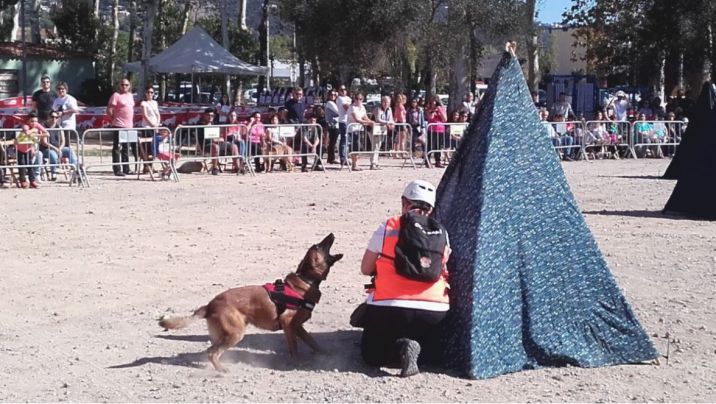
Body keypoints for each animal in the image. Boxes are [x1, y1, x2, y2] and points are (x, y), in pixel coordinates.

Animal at [158, 232, 342, 370]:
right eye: (318, 246)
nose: (331, 234)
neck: (305, 280)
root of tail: (210, 305)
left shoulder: (297, 327)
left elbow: (312, 341)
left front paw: (323, 352)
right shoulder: (288, 323)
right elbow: (294, 347)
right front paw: (298, 363)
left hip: (226, 333)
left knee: (210, 350)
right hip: (235, 333)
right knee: (212, 352)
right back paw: (221, 370)